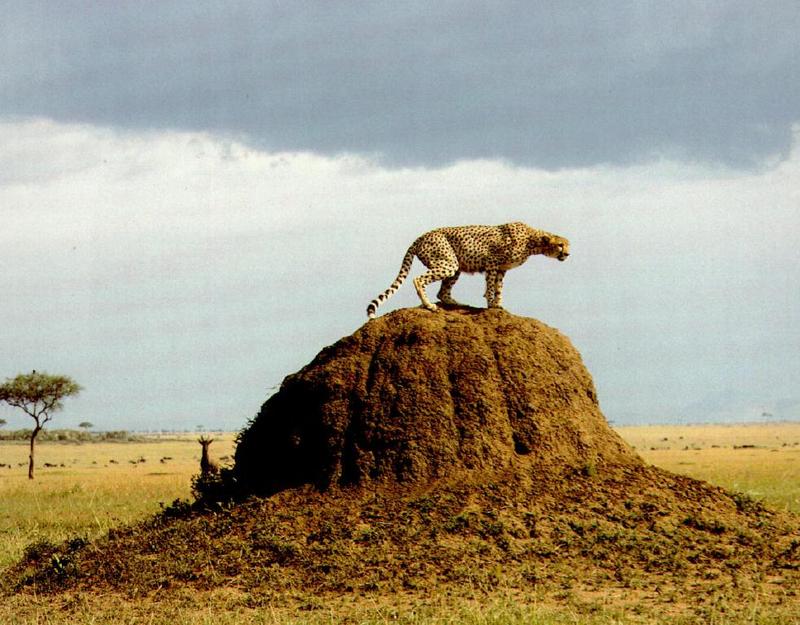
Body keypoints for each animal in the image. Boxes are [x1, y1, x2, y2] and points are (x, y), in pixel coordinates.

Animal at [368, 222, 568, 316]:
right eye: (560, 245)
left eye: (568, 245)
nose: (567, 254)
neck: (533, 241)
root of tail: (421, 236)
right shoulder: (491, 263)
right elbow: (490, 287)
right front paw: (490, 304)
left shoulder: (502, 269)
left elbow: (499, 287)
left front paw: (498, 305)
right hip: (448, 263)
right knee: (418, 279)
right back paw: (429, 305)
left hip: (454, 266)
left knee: (443, 293)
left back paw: (457, 304)